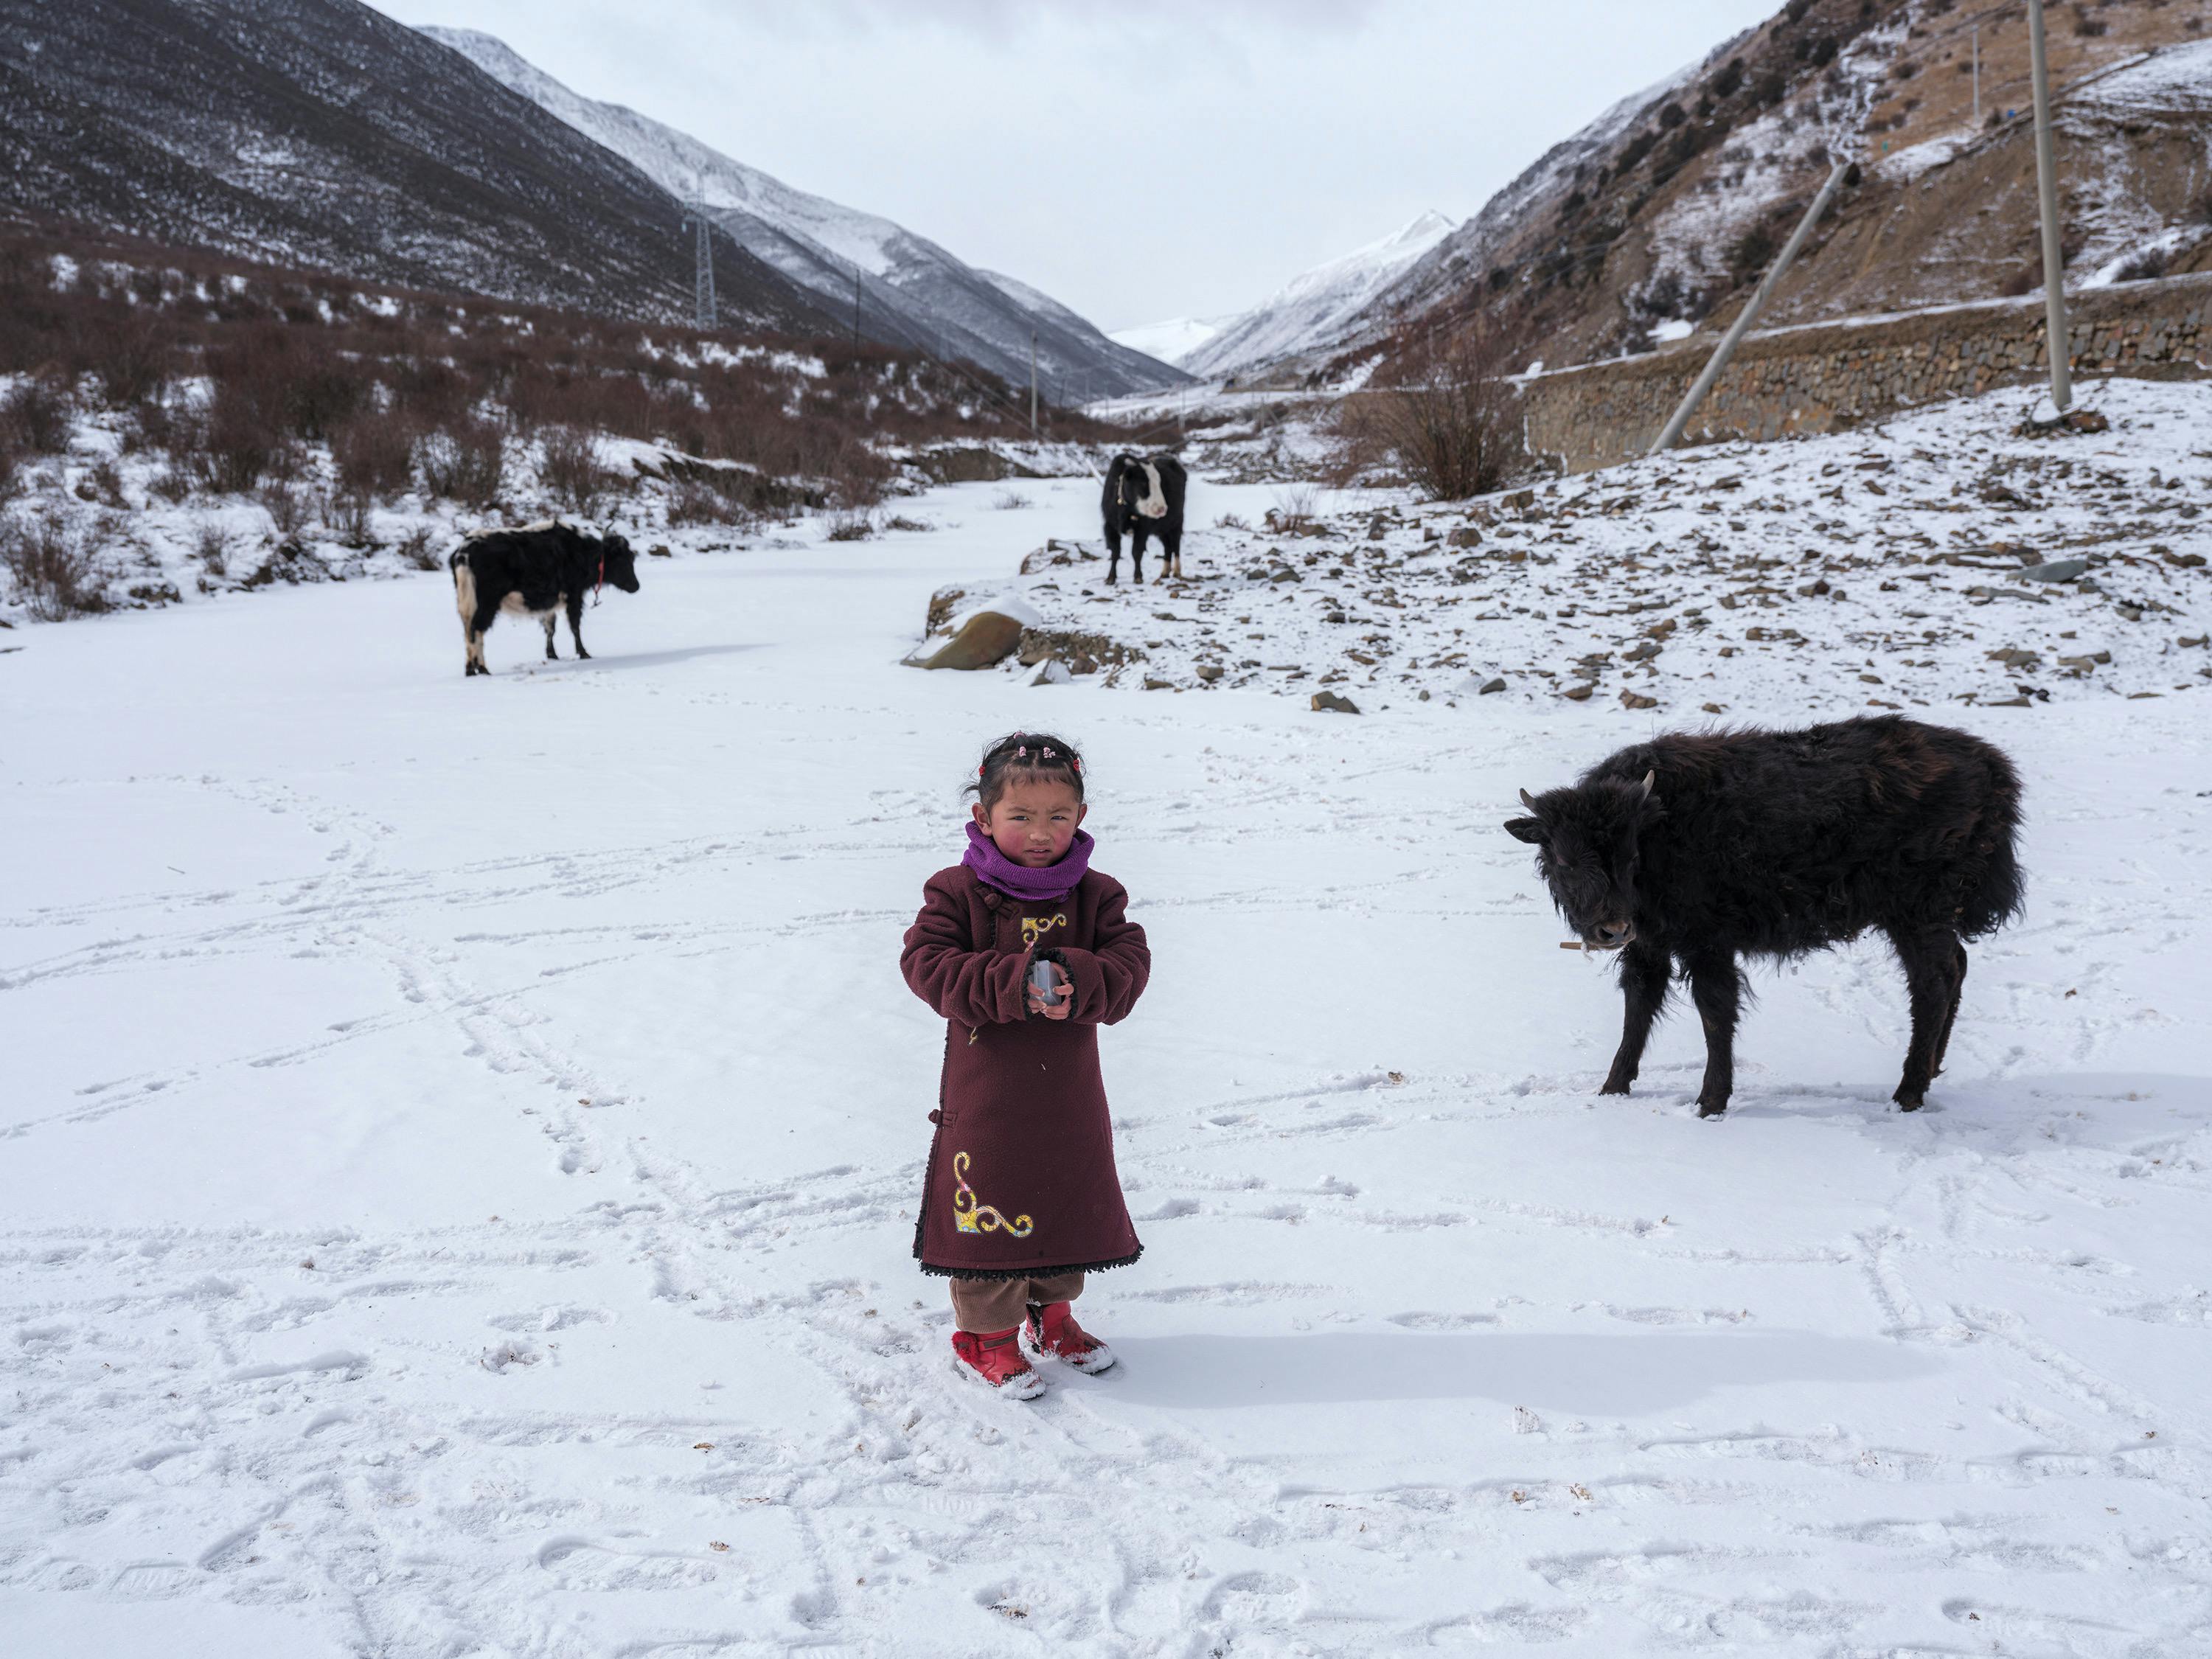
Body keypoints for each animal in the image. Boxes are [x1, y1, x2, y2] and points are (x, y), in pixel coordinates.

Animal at [447, 520, 641, 677]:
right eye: (623, 558)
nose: (636, 586)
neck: (582, 552)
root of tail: (464, 552)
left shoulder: (551, 602)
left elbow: (550, 628)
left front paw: (552, 655)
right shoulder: (574, 594)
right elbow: (575, 625)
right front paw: (584, 653)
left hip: (468, 603)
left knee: (469, 631)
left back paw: (472, 669)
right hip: (487, 603)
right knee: (477, 630)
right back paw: (481, 668)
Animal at [1097, 451, 1186, 588]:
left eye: (1159, 482)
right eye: (1143, 482)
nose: (1161, 509)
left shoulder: (1142, 529)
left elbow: (1137, 552)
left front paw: (1138, 577)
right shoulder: (1110, 526)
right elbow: (1115, 552)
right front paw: (1111, 578)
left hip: (1176, 523)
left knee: (1176, 546)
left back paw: (1176, 571)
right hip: (1162, 529)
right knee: (1168, 547)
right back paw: (1165, 573)